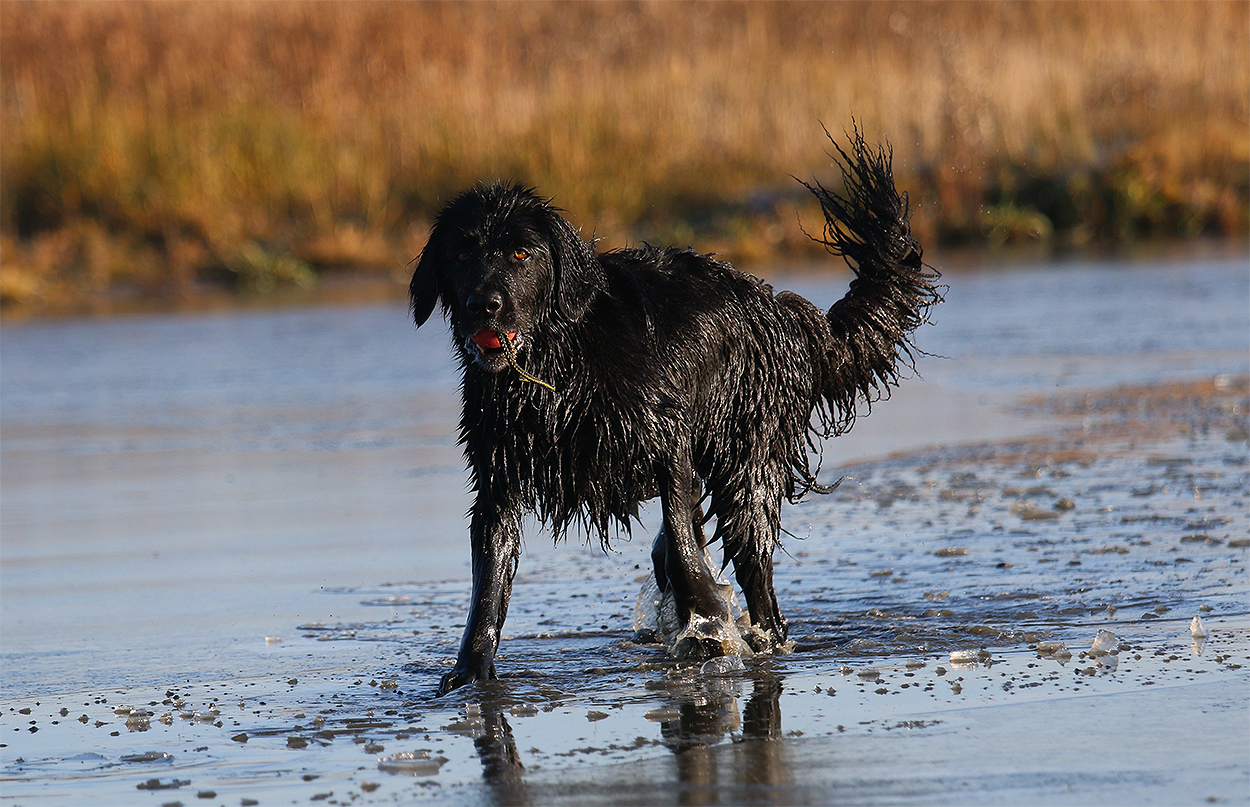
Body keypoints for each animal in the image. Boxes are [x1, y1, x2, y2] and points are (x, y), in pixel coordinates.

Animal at [409, 127, 941, 694]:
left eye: (519, 253)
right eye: (461, 254)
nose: (482, 306)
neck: (558, 367)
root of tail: (782, 311)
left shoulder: (666, 437)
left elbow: (685, 541)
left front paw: (705, 624)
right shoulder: (498, 475)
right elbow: (489, 578)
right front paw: (470, 671)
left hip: (745, 466)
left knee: (755, 575)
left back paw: (763, 639)